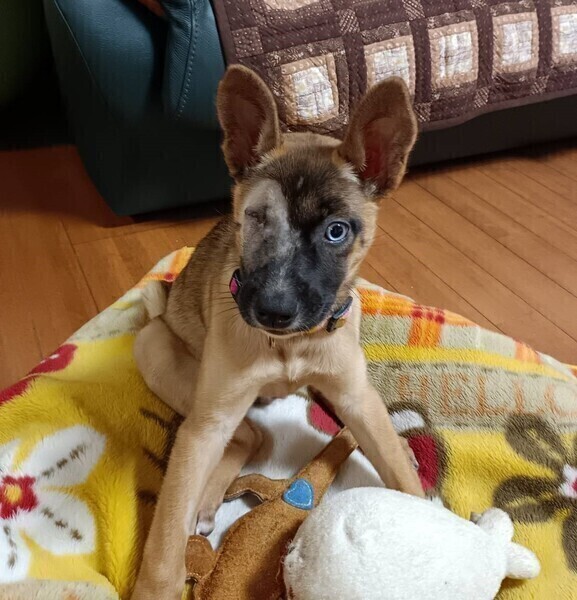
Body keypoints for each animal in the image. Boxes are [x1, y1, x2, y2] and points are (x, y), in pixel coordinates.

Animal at [130, 65, 424, 600]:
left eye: (336, 231)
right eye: (256, 218)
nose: (273, 312)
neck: (290, 346)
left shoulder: (357, 398)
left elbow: (397, 468)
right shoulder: (205, 424)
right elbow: (164, 541)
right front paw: (157, 585)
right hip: (158, 352)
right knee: (247, 435)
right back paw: (207, 499)